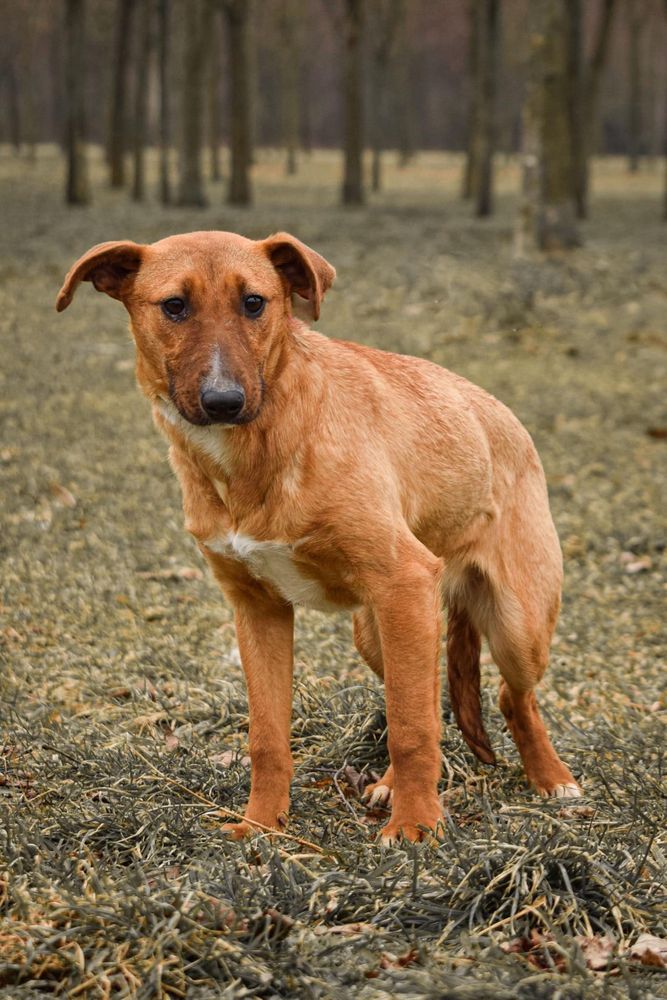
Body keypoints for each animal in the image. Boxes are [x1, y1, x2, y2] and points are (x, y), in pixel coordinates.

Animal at [57, 232, 580, 844]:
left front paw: (416, 828)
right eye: (174, 307)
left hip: (514, 624)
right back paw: (393, 784)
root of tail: (506, 418)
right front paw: (262, 825)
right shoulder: (258, 610)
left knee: (508, 697)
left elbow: (410, 729)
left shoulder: (404, 578)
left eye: (254, 303)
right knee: (425, 696)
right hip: (382, 630)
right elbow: (269, 739)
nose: (223, 401)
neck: (258, 447)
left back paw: (550, 779)